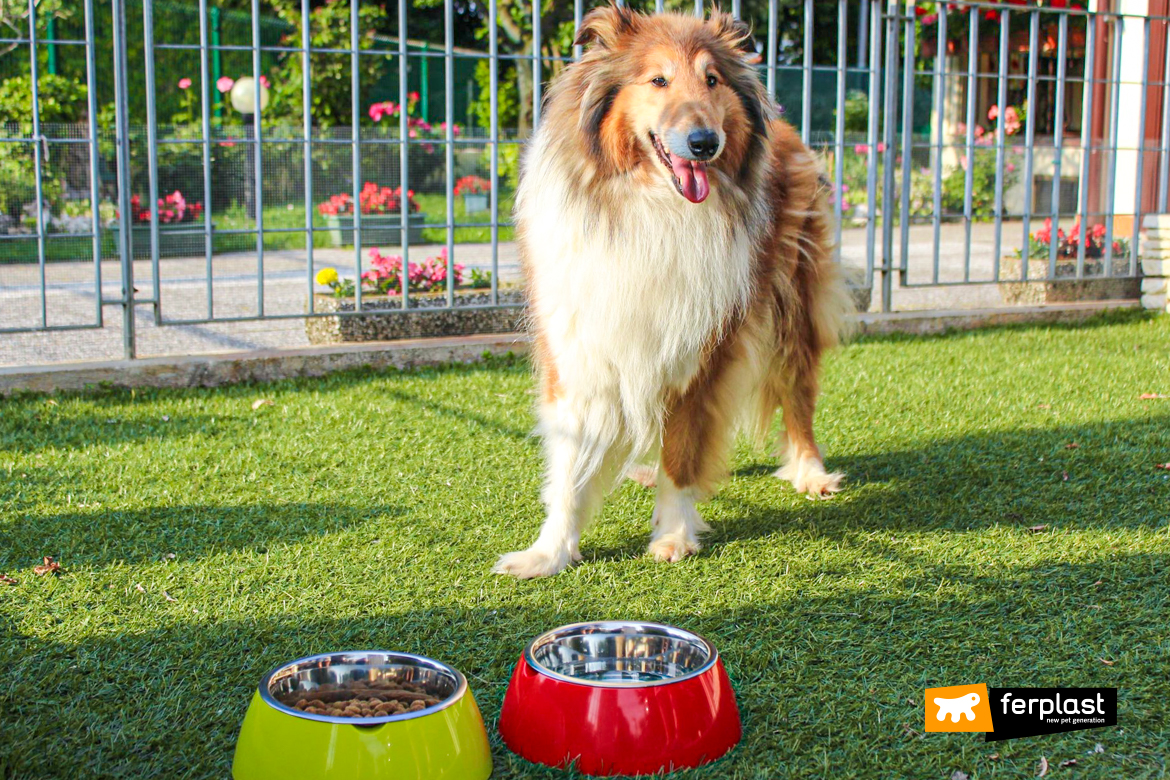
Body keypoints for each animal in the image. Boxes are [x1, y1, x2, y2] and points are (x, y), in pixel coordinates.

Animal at [491, 4, 851, 580]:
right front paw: (548, 553)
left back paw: (810, 472)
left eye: (712, 79)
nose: (705, 143)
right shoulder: (578, 347)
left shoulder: (703, 353)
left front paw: (673, 536)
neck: (654, 206)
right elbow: (569, 466)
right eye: (657, 80)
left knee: (798, 394)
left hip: (791, 307)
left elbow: (683, 453)